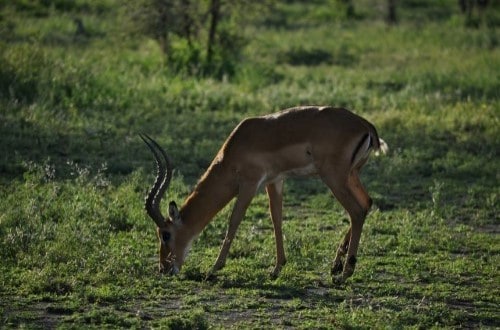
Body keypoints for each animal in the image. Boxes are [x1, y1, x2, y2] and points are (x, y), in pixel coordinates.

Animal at [139, 106, 388, 284]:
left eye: (165, 234)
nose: (164, 268)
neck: (233, 151)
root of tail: (366, 125)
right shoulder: (274, 181)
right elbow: (276, 219)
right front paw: (277, 269)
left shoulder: (250, 184)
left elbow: (234, 221)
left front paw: (213, 269)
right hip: (350, 175)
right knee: (366, 203)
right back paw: (336, 266)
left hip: (333, 177)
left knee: (356, 211)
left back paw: (345, 273)